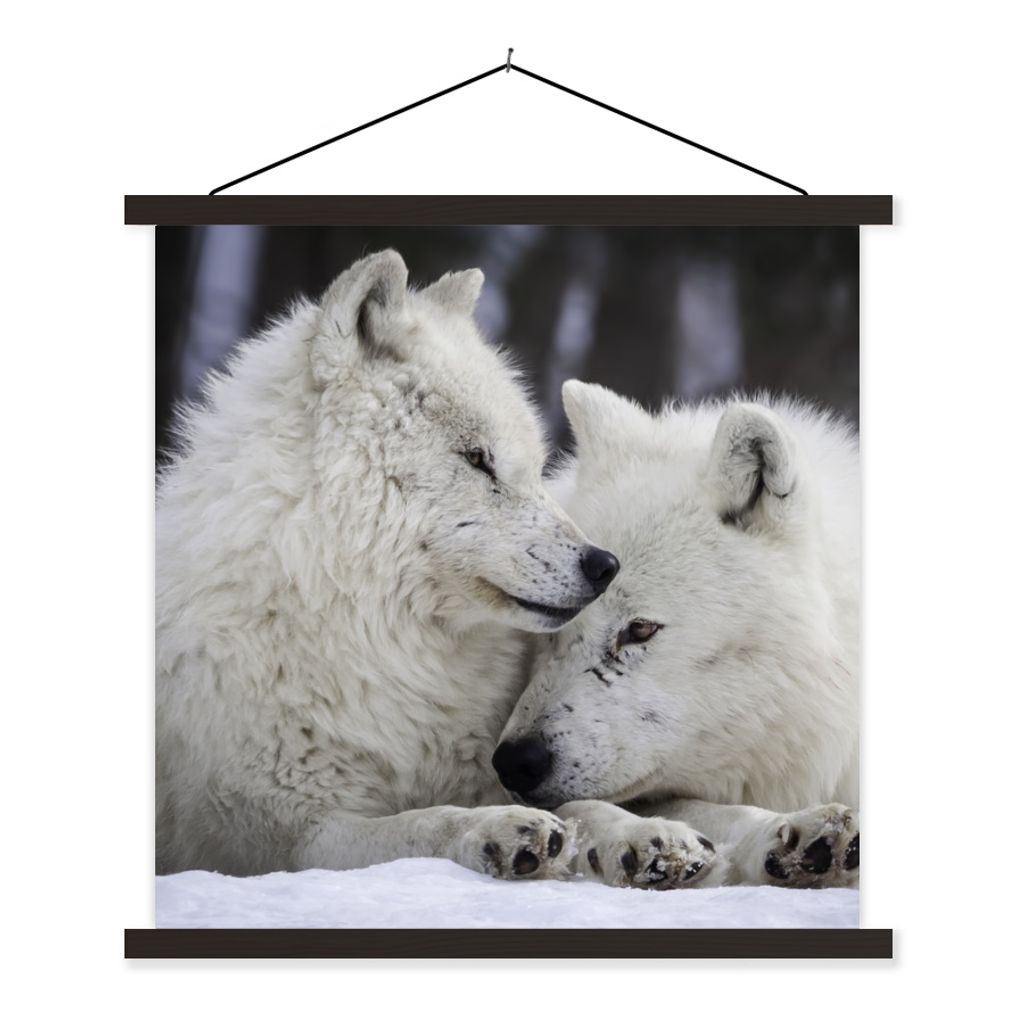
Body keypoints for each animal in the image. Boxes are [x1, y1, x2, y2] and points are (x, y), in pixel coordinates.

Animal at [156, 251, 621, 878]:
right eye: (478, 460)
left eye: (534, 467)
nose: (605, 565)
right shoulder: (286, 837)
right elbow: (422, 825)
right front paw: (494, 831)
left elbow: (584, 806)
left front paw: (656, 840)